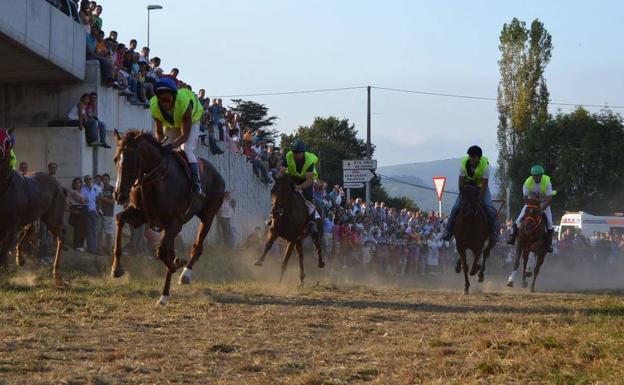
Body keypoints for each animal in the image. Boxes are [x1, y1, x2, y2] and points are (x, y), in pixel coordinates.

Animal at [0, 127, 66, 284]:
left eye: (7, 141)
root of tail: (58, 184)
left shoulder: (11, 225)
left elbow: (3, 251)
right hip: (33, 215)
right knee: (30, 230)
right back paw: (20, 259)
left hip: (52, 218)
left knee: (60, 236)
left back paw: (57, 275)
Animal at [111, 130, 224, 304]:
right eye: (116, 159)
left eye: (133, 161)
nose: (119, 195)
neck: (155, 179)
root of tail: (217, 173)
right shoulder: (141, 216)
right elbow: (119, 218)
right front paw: (117, 268)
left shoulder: (174, 223)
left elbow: (162, 253)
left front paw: (177, 264)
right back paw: (164, 295)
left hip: (209, 215)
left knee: (197, 246)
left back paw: (184, 275)